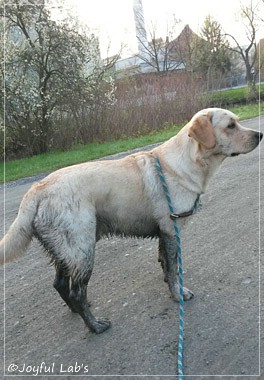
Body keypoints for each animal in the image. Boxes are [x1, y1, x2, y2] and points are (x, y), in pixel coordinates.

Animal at [0, 107, 262, 332]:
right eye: (230, 126)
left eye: (238, 122)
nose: (259, 135)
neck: (189, 161)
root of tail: (36, 190)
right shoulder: (171, 229)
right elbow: (173, 268)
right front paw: (178, 294)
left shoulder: (164, 231)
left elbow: (165, 263)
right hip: (82, 249)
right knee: (76, 291)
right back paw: (95, 326)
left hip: (67, 251)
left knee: (60, 284)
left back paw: (77, 311)